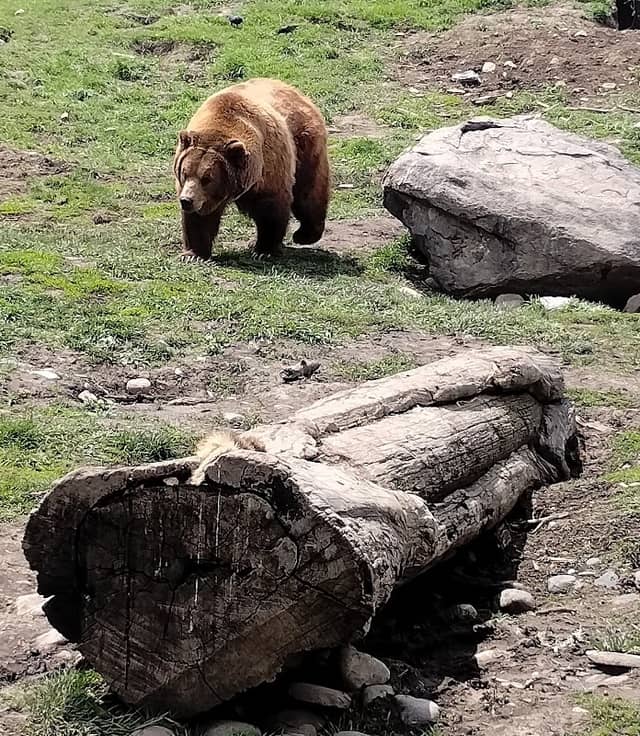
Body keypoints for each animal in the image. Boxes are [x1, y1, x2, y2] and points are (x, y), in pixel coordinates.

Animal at [173, 78, 330, 261]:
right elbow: (198, 220)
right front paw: (193, 254)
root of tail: (296, 92)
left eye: (207, 178)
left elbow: (271, 210)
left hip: (305, 145)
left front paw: (263, 250)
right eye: (184, 173)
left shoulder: (268, 169)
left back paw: (305, 234)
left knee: (308, 192)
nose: (186, 200)